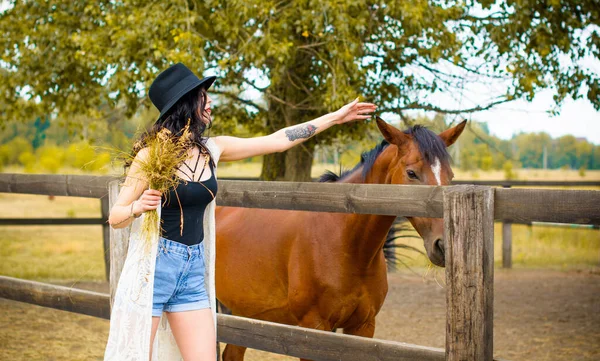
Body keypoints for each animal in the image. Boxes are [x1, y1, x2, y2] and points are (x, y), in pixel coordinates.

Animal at [213, 116, 466, 358]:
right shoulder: (313, 329)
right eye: (411, 173)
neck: (345, 243)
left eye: (450, 175)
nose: (443, 245)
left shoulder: (363, 326)